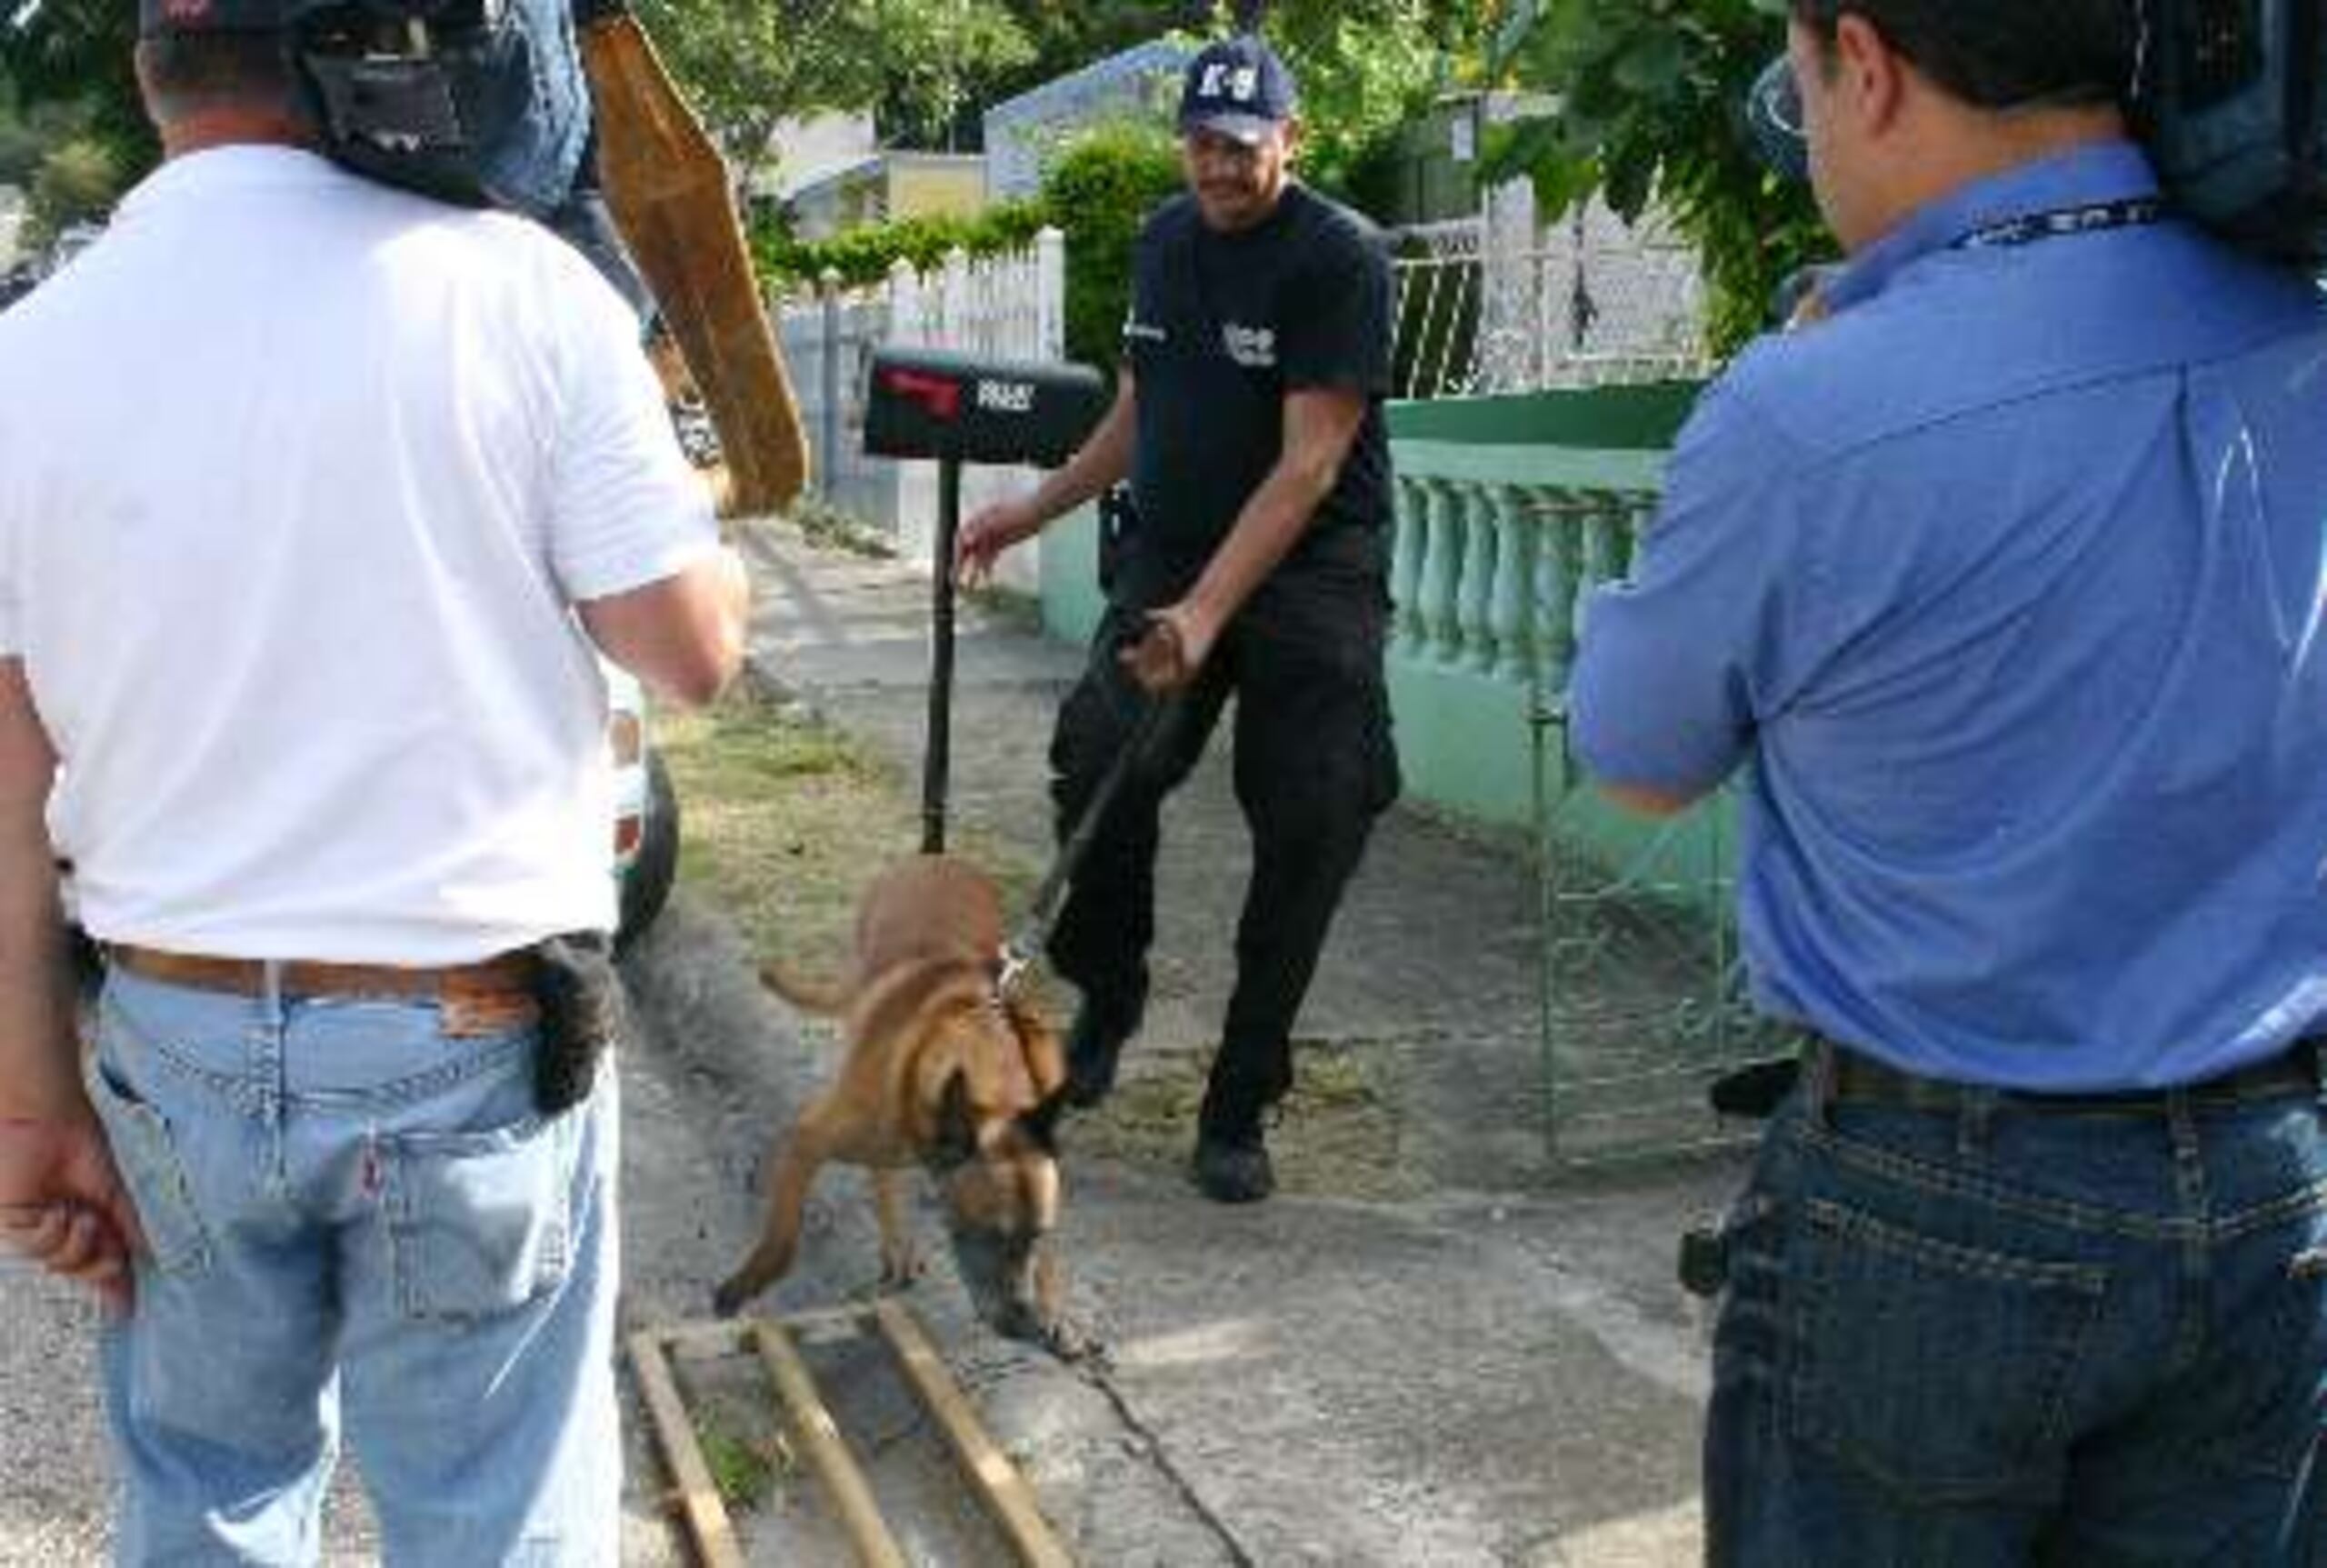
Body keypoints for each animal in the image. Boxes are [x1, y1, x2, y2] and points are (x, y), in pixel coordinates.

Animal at [707, 846, 1070, 1340]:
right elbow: (782, 1238)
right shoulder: (807, 1139)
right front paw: (746, 1283)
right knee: (879, 1170)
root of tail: (933, 855)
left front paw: (1051, 1301)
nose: (1025, 1322)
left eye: (1036, 1237)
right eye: (989, 1236)